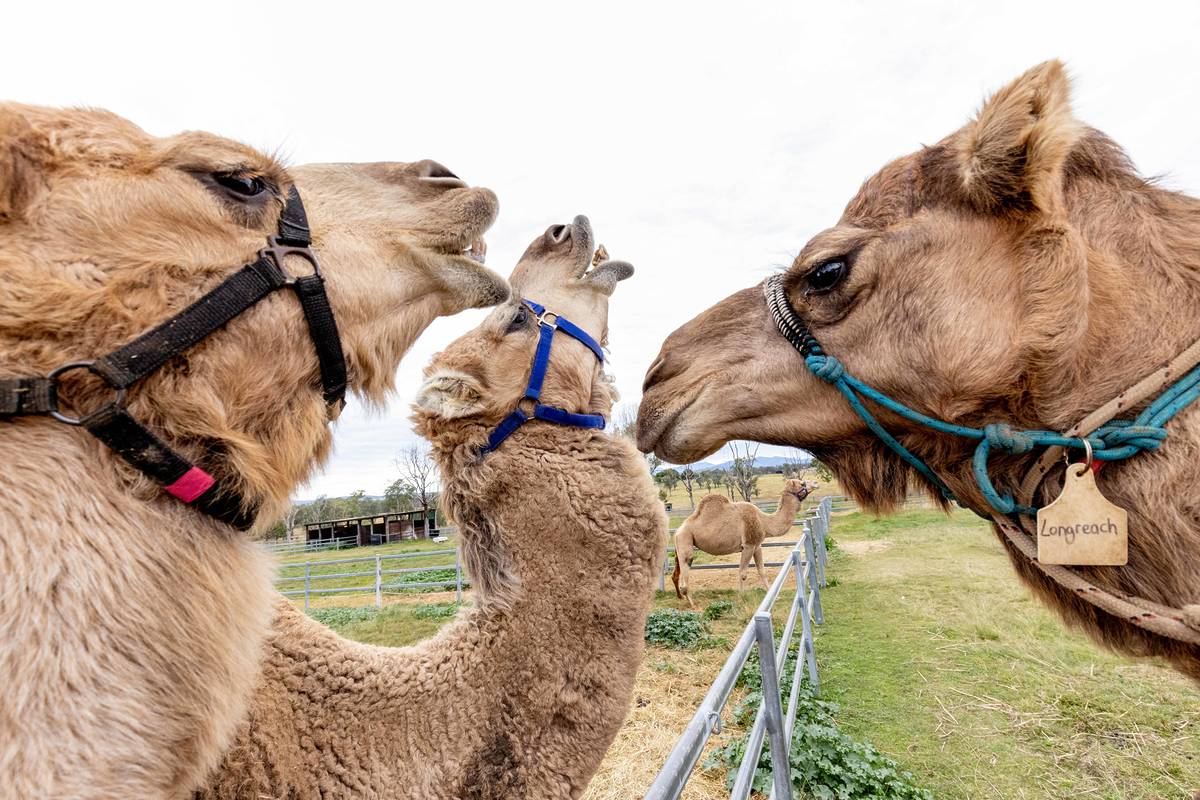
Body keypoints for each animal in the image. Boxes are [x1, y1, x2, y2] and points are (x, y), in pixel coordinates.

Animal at [671, 478, 813, 606]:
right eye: (802, 483)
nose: (814, 484)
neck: (764, 521)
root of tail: (677, 531)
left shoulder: (757, 546)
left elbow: (762, 570)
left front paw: (774, 596)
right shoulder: (748, 545)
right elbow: (742, 573)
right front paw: (742, 597)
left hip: (680, 545)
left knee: (677, 573)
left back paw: (682, 597)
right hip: (685, 539)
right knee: (686, 568)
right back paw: (692, 603)